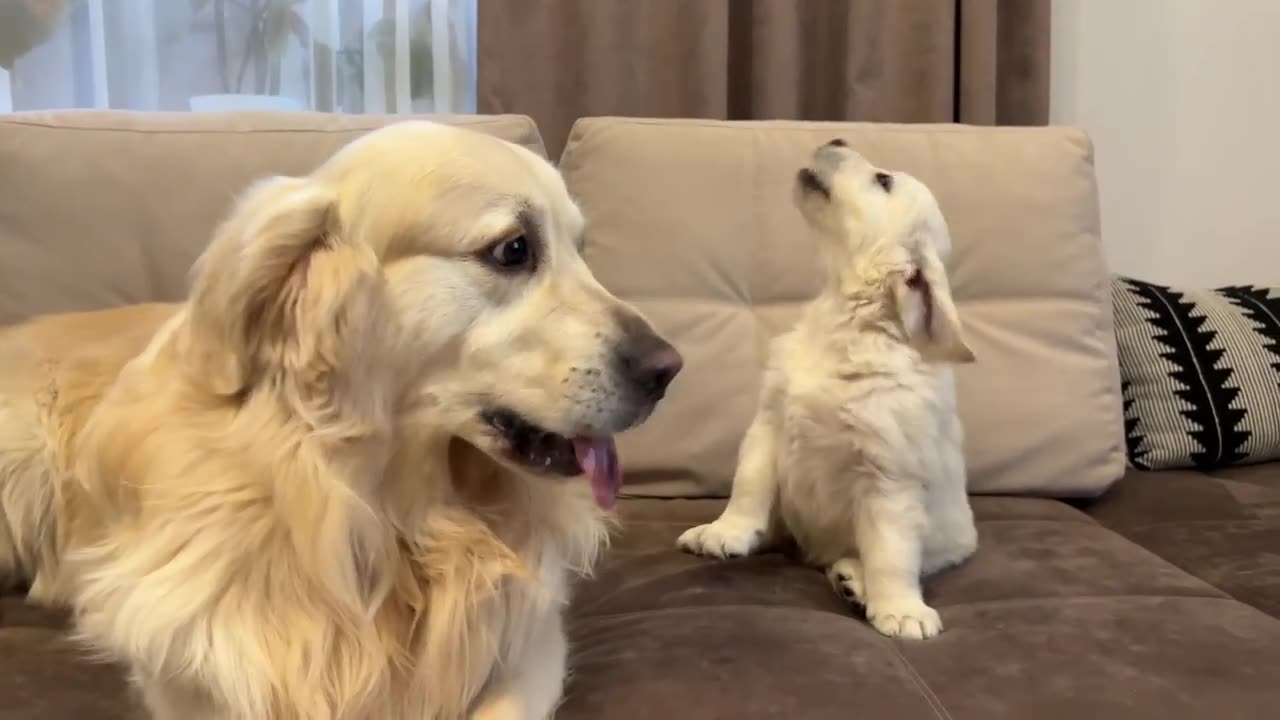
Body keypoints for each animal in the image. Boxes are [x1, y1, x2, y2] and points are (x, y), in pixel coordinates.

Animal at [0, 120, 680, 712]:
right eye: (513, 250)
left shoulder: (529, 644)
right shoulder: (191, 671)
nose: (668, 369)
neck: (388, 516)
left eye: (581, 250)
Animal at [686, 137, 972, 635]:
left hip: (949, 539)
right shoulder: (769, 424)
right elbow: (749, 483)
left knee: (888, 557)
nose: (836, 139)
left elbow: (891, 551)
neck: (845, 320)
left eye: (883, 180)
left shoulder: (888, 474)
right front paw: (728, 531)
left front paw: (900, 609)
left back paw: (854, 580)